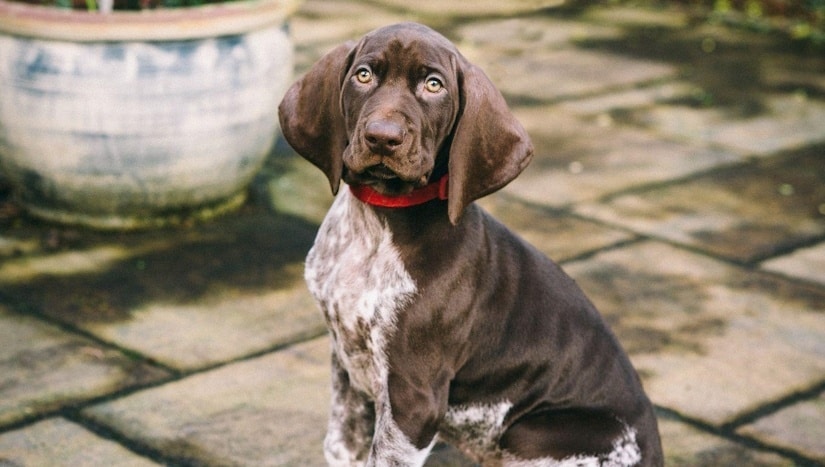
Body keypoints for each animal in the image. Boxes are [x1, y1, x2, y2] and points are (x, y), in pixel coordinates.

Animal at [276, 22, 664, 467]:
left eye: (434, 85)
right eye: (364, 75)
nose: (382, 138)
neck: (376, 224)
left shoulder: (414, 399)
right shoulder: (346, 364)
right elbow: (341, 445)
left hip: (532, 434)